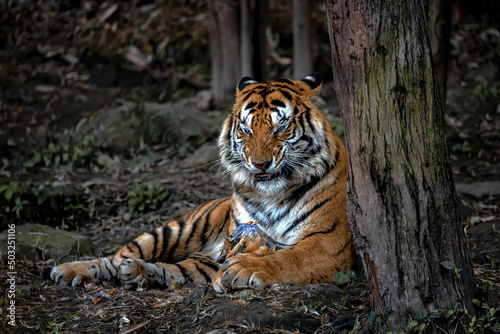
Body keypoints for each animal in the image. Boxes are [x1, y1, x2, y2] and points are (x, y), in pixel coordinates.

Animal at [43, 73, 356, 292]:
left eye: (281, 127)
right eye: (246, 130)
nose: (260, 163)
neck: (271, 195)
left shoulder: (328, 240)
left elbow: (291, 257)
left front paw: (242, 269)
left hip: (201, 257)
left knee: (175, 271)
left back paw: (139, 273)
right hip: (176, 230)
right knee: (117, 257)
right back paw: (70, 270)